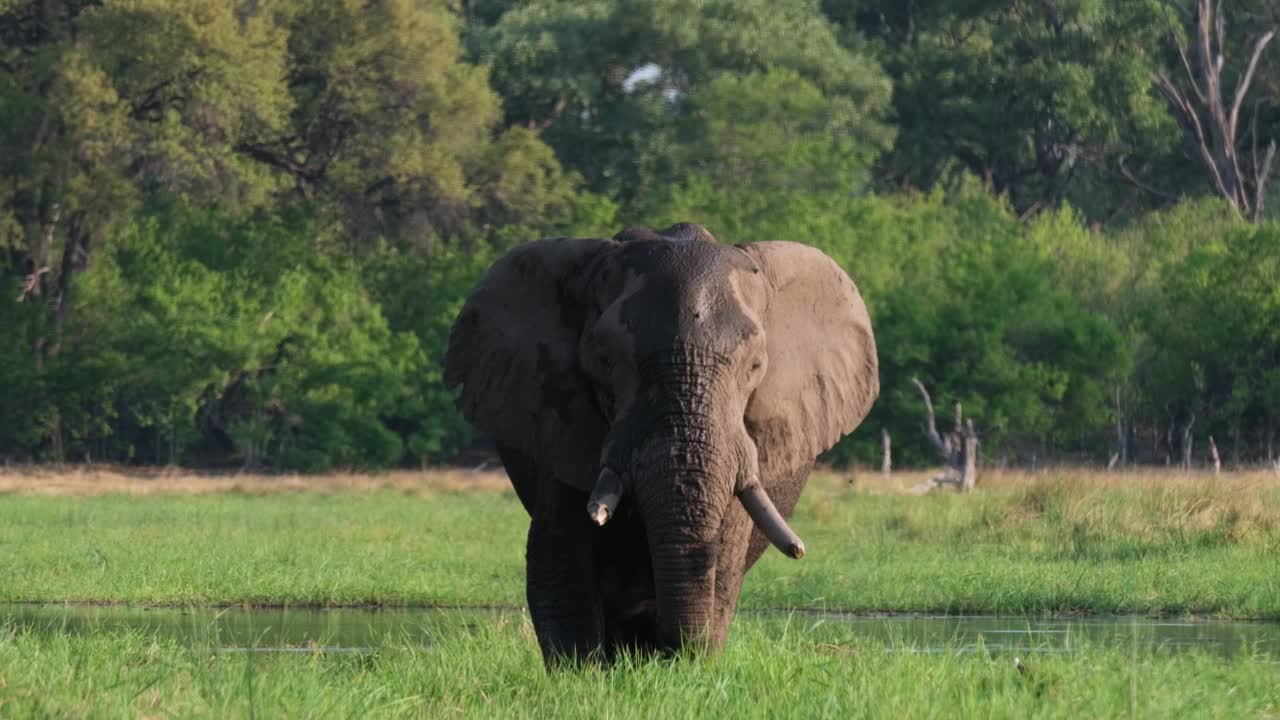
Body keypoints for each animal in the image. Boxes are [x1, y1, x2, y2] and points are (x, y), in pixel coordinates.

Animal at [445, 220, 875, 661]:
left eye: (755, 366)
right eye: (605, 360)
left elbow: (723, 567)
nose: (800, 551)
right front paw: (582, 672)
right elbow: (559, 564)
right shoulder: (561, 424)